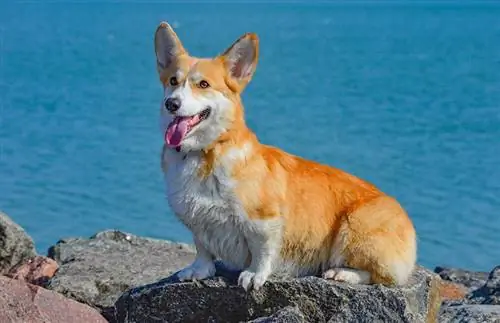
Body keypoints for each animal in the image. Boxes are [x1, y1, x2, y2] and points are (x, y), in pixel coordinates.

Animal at [155, 21, 418, 292]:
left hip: (354, 227)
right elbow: (203, 248)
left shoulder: (263, 220)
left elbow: (262, 250)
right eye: (173, 81)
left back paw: (342, 273)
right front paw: (199, 270)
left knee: (381, 276)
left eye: (203, 85)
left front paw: (254, 274)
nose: (171, 104)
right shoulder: (197, 220)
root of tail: (408, 222)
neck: (204, 152)